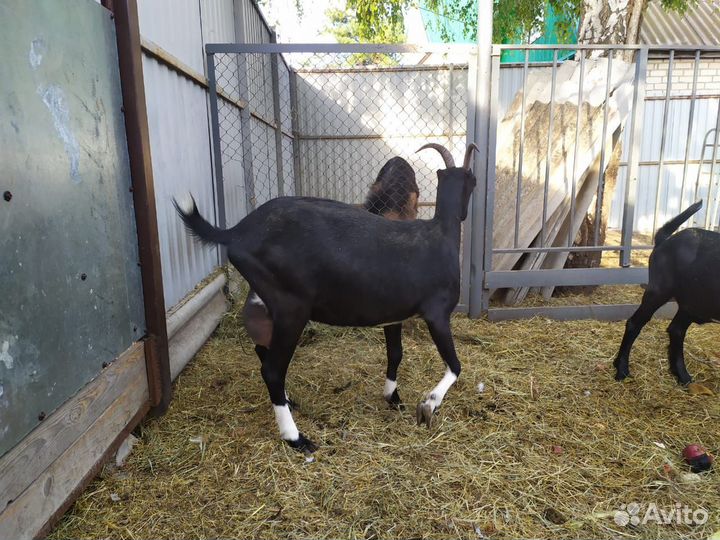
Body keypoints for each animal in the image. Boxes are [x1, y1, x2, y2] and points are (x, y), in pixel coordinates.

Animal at [176, 143, 478, 452]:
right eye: (474, 181)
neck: (440, 234)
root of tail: (236, 232)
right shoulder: (437, 314)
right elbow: (455, 365)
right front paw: (429, 405)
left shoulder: (395, 316)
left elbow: (396, 353)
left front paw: (392, 398)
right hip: (291, 308)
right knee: (272, 369)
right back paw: (296, 438)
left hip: (263, 303)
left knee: (262, 350)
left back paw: (289, 401)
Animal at [614, 200, 708, 385]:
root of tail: (665, 241)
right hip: (658, 292)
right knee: (635, 323)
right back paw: (622, 369)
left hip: (690, 302)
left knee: (676, 329)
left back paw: (682, 375)